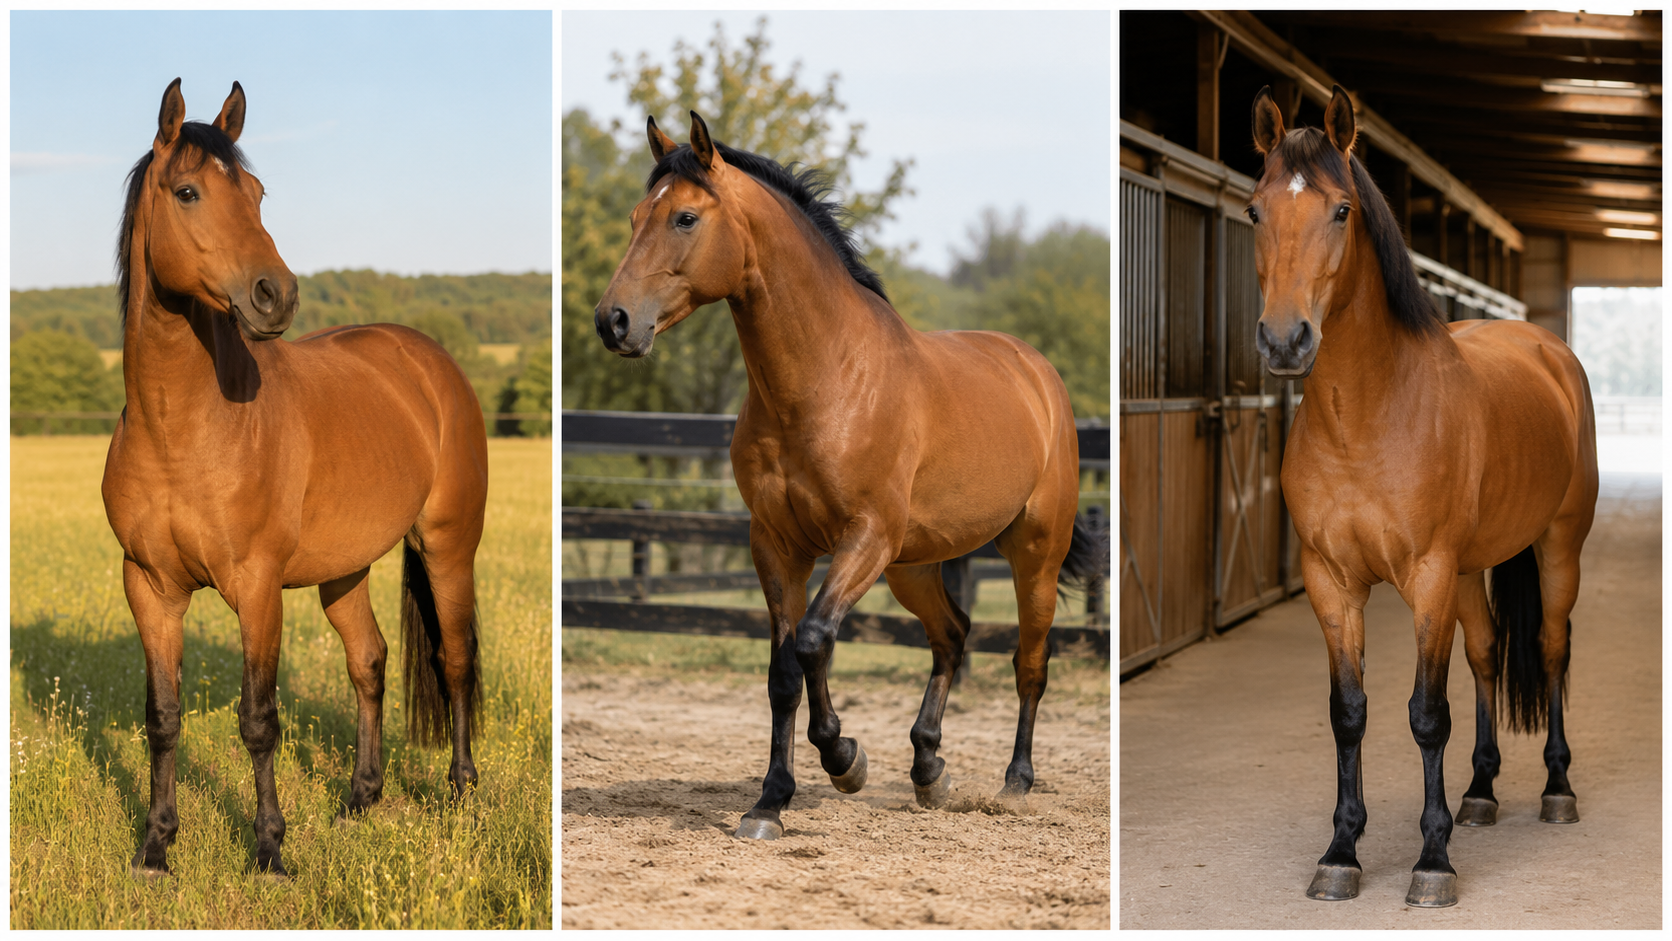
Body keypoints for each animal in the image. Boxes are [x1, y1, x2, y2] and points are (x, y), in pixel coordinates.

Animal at [101, 79, 489, 878]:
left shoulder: (256, 588)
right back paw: (360, 799)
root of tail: (430, 363)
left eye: (254, 192)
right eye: (187, 191)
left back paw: (462, 791)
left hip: (447, 547)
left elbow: (258, 719)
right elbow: (162, 718)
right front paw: (155, 847)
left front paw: (269, 851)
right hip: (344, 570)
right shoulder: (148, 587)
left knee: (455, 659)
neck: (181, 429)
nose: (274, 294)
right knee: (369, 661)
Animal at [593, 112, 1107, 839]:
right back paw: (928, 768)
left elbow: (813, 641)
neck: (827, 379)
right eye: (638, 216)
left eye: (685, 218)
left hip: (1031, 552)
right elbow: (783, 669)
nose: (613, 322)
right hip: (914, 565)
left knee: (1029, 662)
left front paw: (845, 759)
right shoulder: (777, 544)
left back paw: (1014, 784)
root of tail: (1036, 373)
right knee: (952, 635)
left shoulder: (863, 537)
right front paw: (769, 803)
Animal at [1247, 85, 1598, 908]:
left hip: (1557, 548)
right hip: (1471, 572)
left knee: (1551, 647)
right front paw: (1341, 852)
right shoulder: (1332, 581)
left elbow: (1425, 713)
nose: (1284, 340)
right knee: (1487, 654)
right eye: (1253, 210)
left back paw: (1557, 789)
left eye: (1341, 210)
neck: (1368, 418)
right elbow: (1350, 713)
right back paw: (1479, 793)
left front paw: (1432, 862)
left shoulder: (1428, 576)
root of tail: (1547, 348)